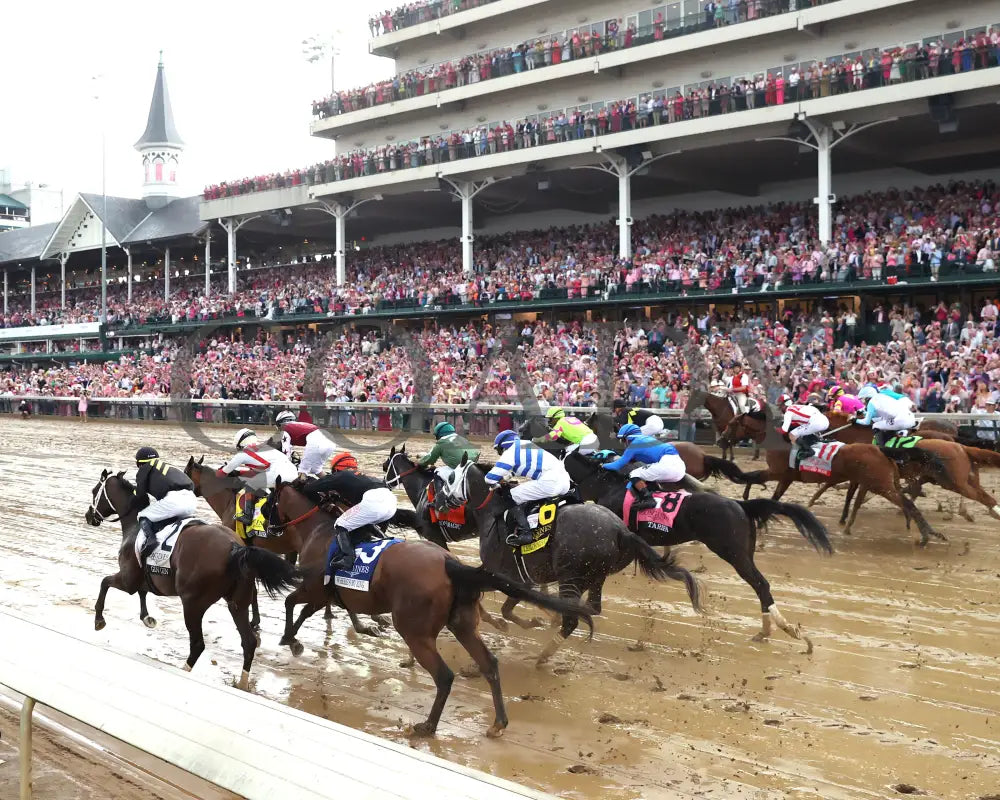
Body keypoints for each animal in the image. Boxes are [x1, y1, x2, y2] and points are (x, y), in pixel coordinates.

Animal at [86, 468, 298, 688]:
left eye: (94, 491)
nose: (89, 516)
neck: (135, 526)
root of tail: (235, 547)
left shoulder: (127, 580)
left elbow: (105, 582)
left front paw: (99, 620)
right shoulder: (141, 579)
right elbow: (142, 592)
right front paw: (147, 618)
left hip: (193, 604)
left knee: (198, 643)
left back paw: (184, 669)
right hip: (237, 603)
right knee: (249, 641)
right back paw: (242, 682)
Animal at [266, 476, 592, 736]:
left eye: (269, 502)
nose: (268, 527)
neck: (318, 530)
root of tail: (450, 563)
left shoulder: (313, 588)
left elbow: (290, 602)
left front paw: (289, 640)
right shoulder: (325, 594)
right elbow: (304, 610)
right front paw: (295, 638)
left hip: (415, 632)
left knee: (444, 676)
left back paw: (428, 726)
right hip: (463, 625)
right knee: (489, 664)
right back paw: (498, 723)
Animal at [438, 454, 704, 664]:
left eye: (450, 479)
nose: (438, 503)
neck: (493, 514)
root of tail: (622, 530)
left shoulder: (504, 575)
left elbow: (501, 609)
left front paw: (521, 622)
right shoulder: (522, 579)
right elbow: (509, 607)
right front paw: (536, 618)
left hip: (571, 574)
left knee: (572, 619)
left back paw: (542, 656)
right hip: (594, 576)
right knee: (590, 607)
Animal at [568, 450, 832, 648]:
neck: (607, 487)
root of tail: (740, 504)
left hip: (733, 552)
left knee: (760, 584)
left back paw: (777, 629)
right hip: (744, 552)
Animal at [720, 412, 944, 544]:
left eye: (731, 424)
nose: (720, 440)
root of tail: (881, 450)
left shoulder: (778, 472)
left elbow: (755, 477)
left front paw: (748, 497)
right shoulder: (786, 477)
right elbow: (773, 494)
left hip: (881, 485)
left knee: (907, 502)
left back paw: (926, 534)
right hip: (888, 482)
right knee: (907, 501)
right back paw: (926, 530)